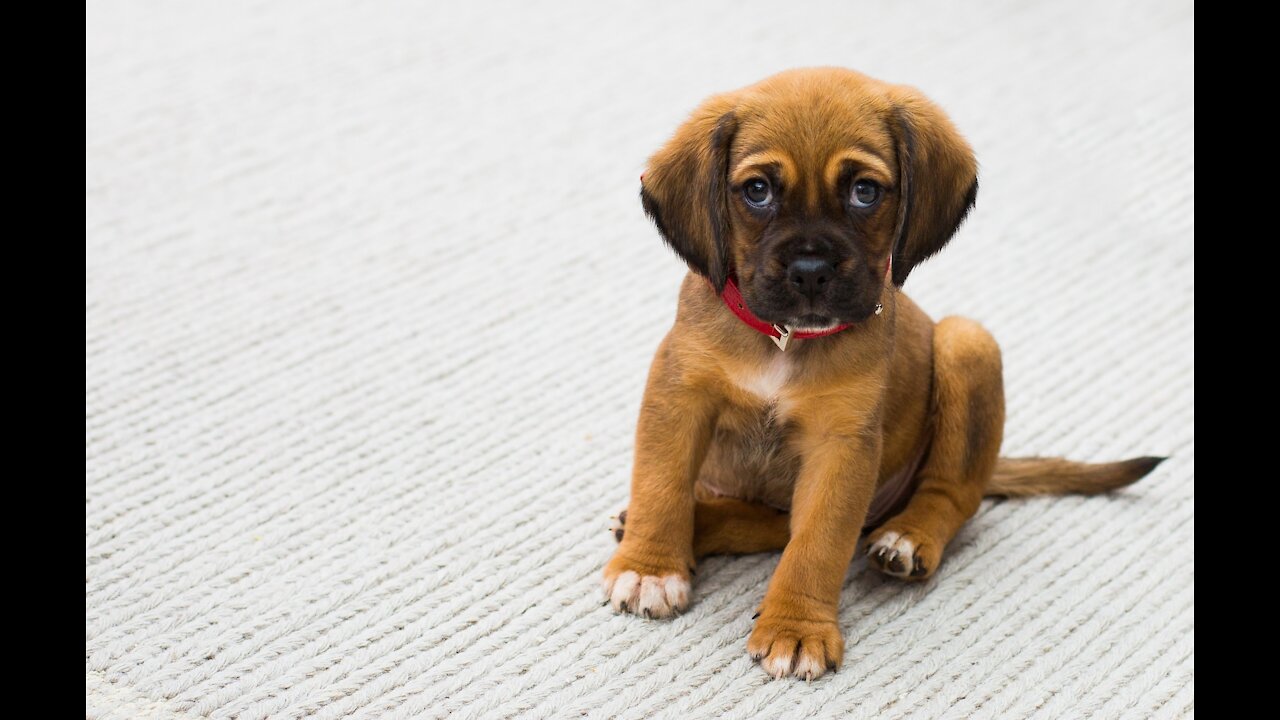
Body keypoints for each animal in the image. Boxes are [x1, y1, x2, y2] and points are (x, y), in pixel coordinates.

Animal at [599, 67, 1162, 676]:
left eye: (864, 192)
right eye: (758, 191)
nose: (811, 271)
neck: (784, 340)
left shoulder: (840, 445)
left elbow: (817, 543)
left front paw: (796, 627)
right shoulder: (678, 397)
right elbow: (661, 485)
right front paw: (651, 567)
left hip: (967, 343)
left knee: (951, 494)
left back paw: (909, 538)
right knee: (769, 522)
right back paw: (692, 524)